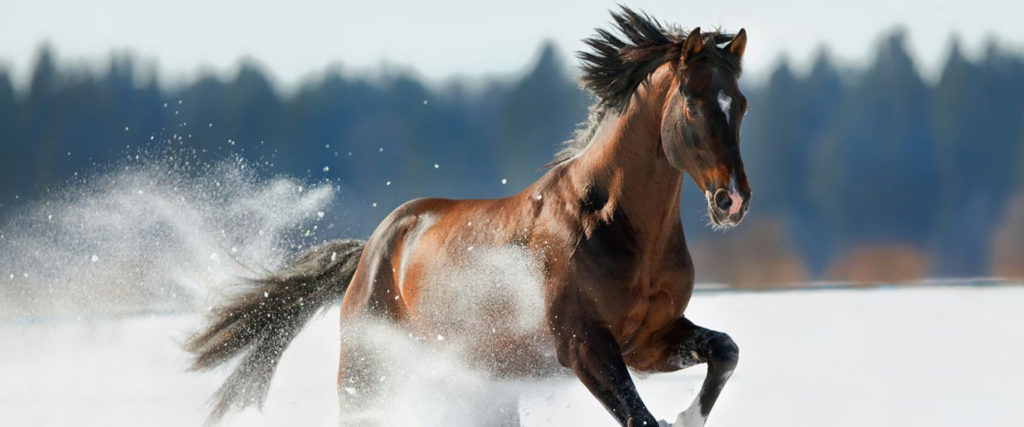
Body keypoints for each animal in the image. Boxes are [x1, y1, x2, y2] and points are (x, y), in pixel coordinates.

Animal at [186, 7, 751, 427]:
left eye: (741, 104)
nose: (733, 201)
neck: (611, 225)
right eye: (693, 104)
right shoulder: (584, 346)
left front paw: (687, 416)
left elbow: (725, 350)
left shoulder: (649, 341)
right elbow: (640, 417)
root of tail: (372, 251)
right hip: (368, 374)